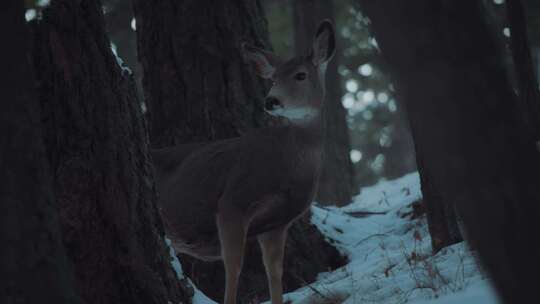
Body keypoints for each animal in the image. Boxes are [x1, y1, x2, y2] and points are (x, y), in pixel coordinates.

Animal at [152, 20, 336, 302]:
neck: (289, 169)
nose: (271, 101)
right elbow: (233, 266)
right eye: (273, 79)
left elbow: (274, 271)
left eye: (300, 75)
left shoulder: (278, 222)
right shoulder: (232, 201)